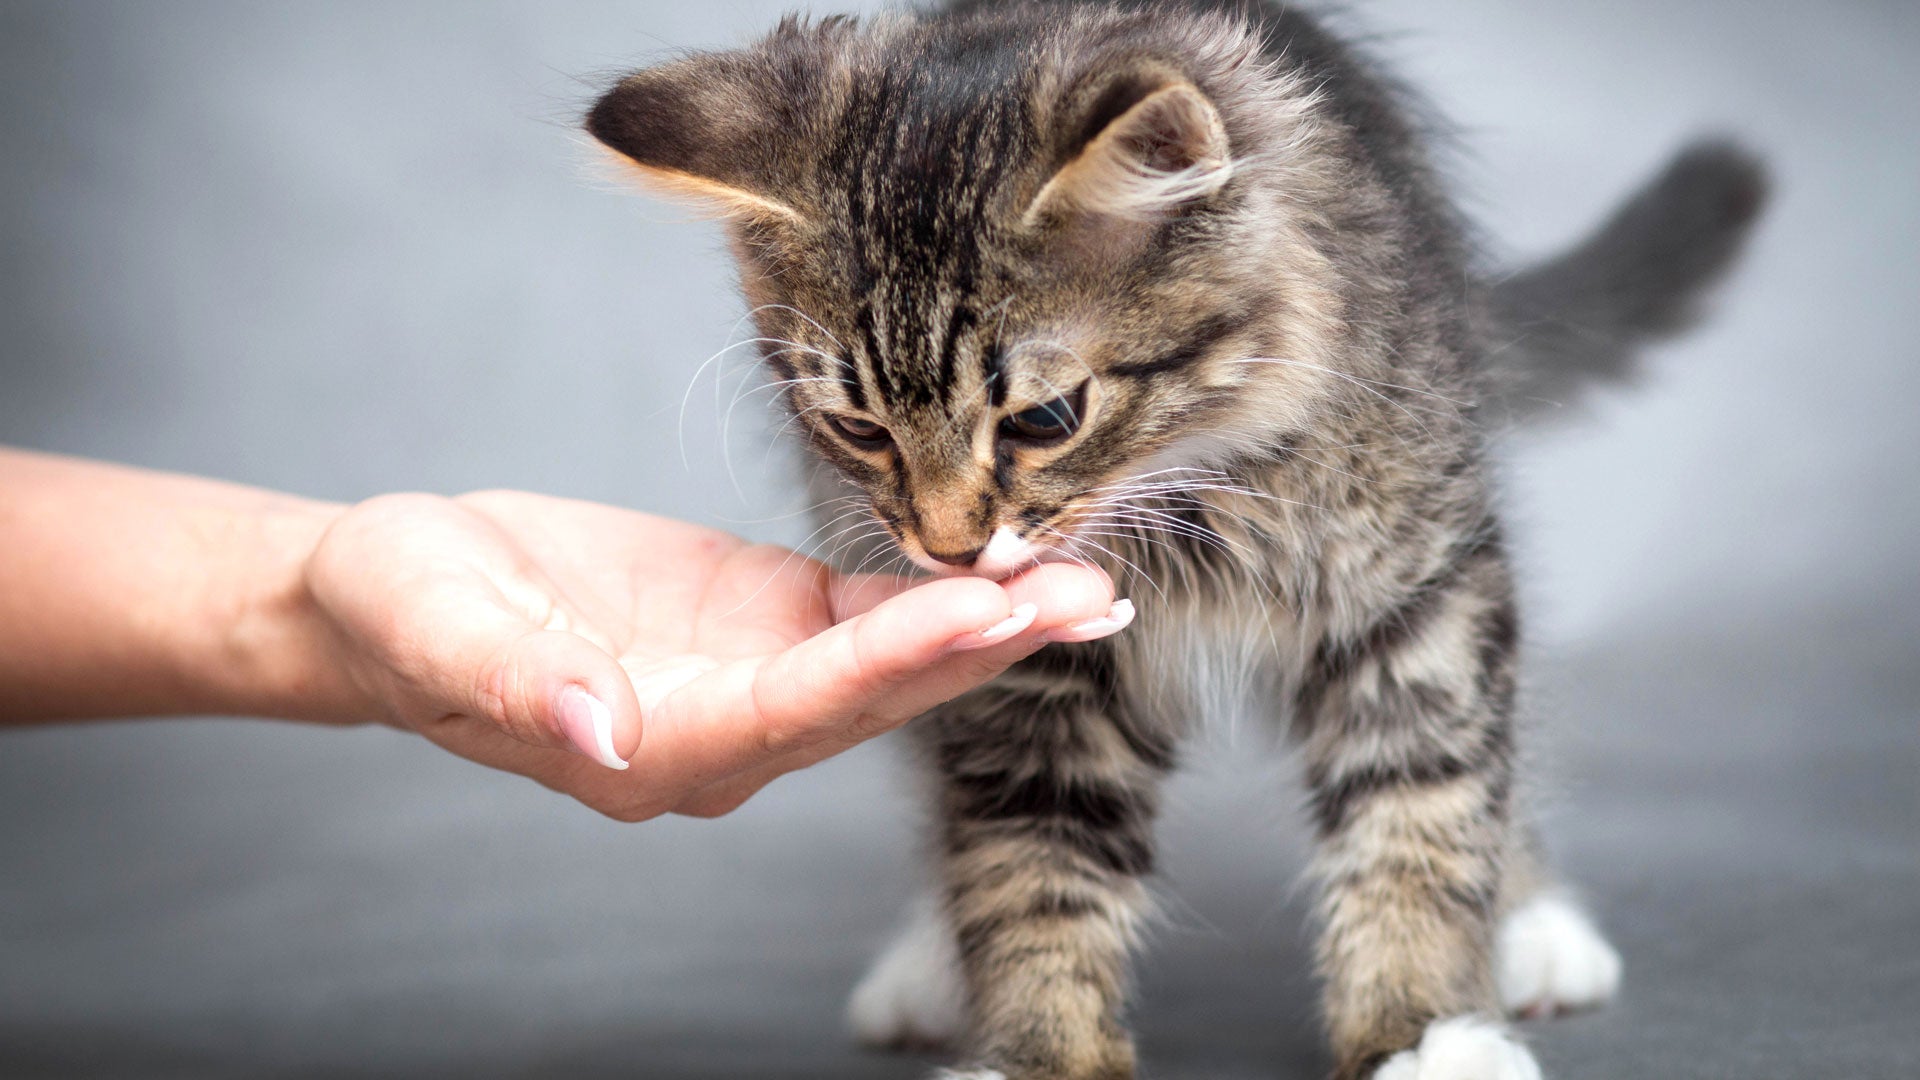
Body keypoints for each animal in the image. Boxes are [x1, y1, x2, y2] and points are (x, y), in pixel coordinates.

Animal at [579, 2, 1758, 1076]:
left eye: (1044, 420)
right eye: (859, 429)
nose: (951, 551)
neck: (1181, 503)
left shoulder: (1416, 593)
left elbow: (1423, 809)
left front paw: (1422, 1029)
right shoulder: (1025, 674)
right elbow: (1027, 865)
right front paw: (1041, 1050)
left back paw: (1534, 922)